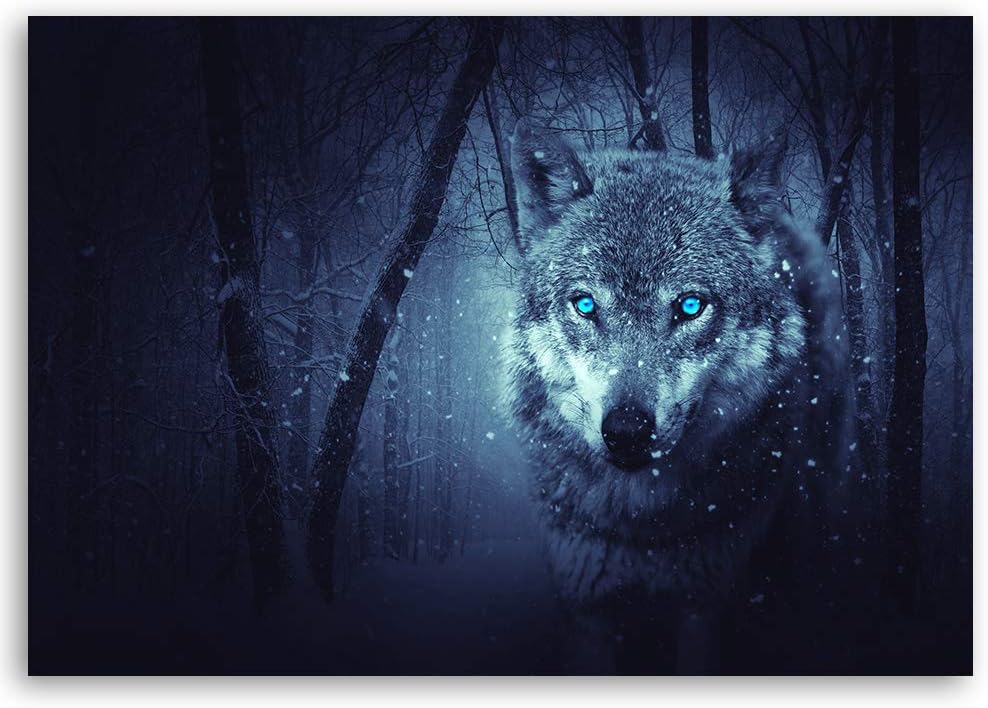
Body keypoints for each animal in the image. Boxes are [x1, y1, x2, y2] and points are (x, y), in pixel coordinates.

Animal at [501, 120, 847, 673]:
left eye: (689, 306)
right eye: (585, 305)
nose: (626, 431)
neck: (643, 529)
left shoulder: (704, 605)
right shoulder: (587, 605)